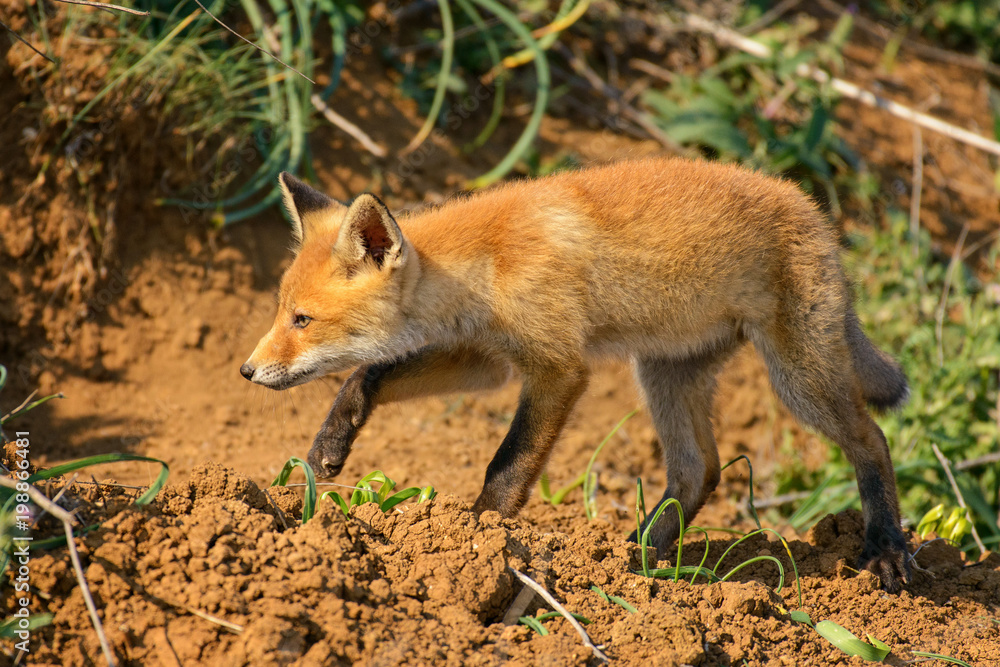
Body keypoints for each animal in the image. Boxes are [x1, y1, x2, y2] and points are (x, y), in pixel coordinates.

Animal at [242, 158, 916, 596]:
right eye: (281, 311)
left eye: (302, 320)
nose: (248, 370)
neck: (488, 261)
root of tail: (813, 207)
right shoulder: (484, 359)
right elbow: (367, 376)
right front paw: (327, 450)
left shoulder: (558, 369)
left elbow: (507, 466)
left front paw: (480, 541)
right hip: (665, 373)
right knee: (700, 469)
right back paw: (635, 562)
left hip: (798, 378)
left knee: (872, 439)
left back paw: (887, 548)